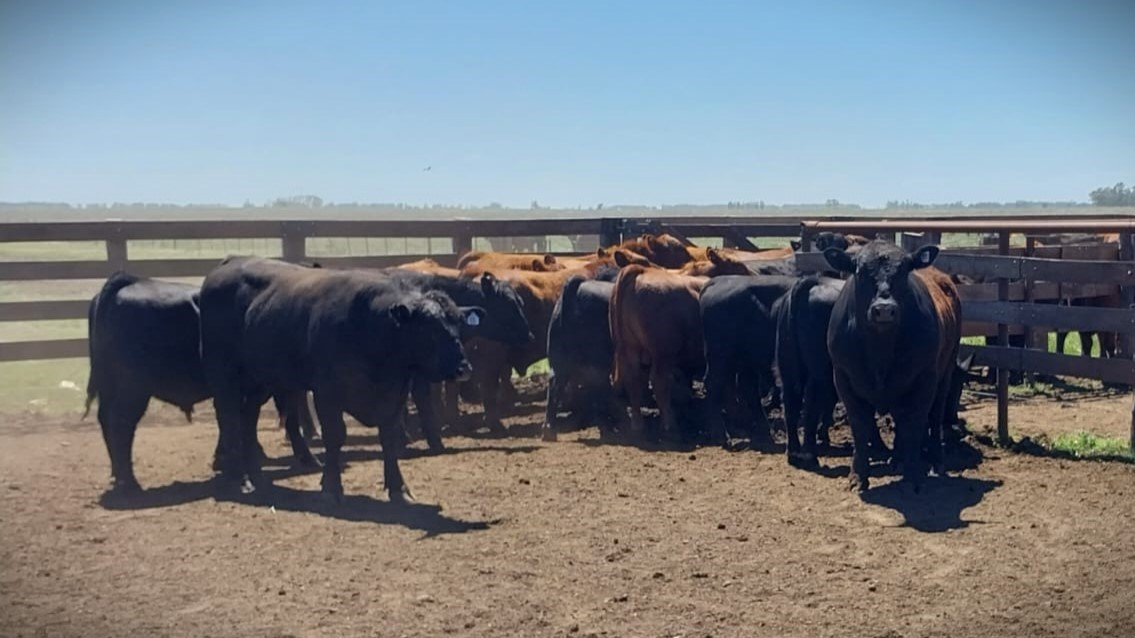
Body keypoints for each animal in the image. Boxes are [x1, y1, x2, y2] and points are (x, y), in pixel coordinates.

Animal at [83, 272, 318, 495]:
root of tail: (128, 282)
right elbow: (287, 419)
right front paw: (306, 457)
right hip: (133, 388)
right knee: (121, 424)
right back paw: (130, 483)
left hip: (111, 385)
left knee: (106, 420)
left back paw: (117, 474)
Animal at [199, 256, 484, 503]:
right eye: (429, 329)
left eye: (458, 324)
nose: (463, 368)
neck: (368, 323)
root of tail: (228, 264)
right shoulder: (327, 393)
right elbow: (335, 436)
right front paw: (331, 487)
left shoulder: (394, 394)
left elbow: (389, 438)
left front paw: (398, 488)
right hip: (225, 375)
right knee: (229, 418)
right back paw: (239, 477)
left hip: (262, 380)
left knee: (247, 418)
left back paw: (256, 474)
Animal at [542, 276, 619, 441]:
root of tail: (580, 286)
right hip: (598, 360)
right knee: (598, 386)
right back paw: (609, 427)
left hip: (559, 359)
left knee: (555, 384)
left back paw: (549, 431)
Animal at [823, 240, 962, 493]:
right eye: (859, 271)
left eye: (905, 270)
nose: (884, 309)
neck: (880, 349)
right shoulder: (843, 378)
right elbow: (860, 427)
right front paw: (858, 476)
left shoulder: (924, 379)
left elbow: (915, 424)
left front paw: (913, 474)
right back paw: (897, 458)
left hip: (945, 372)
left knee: (935, 416)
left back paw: (935, 460)